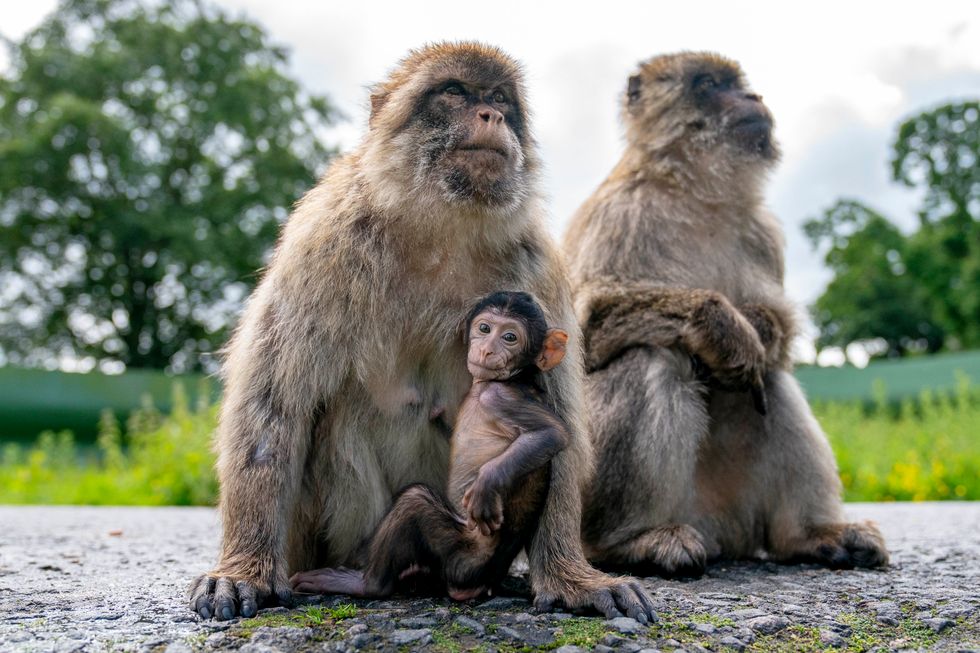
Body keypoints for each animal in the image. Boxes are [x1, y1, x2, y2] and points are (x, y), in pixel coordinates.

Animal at [187, 42, 655, 623]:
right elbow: (273, 409)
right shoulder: (322, 243)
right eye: (454, 92)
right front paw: (244, 569)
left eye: (499, 97)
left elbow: (557, 424)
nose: (492, 115)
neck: (441, 224)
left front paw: (572, 578)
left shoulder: (538, 269)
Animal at [562, 52, 888, 577]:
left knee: (771, 381)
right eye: (711, 84)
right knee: (654, 354)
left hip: (738, 508)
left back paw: (811, 535)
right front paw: (722, 328)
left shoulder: (762, 234)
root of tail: (718, 530)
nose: (753, 97)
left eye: (740, 85)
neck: (698, 193)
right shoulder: (620, 214)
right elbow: (583, 326)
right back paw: (631, 541)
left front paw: (754, 330)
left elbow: (777, 332)